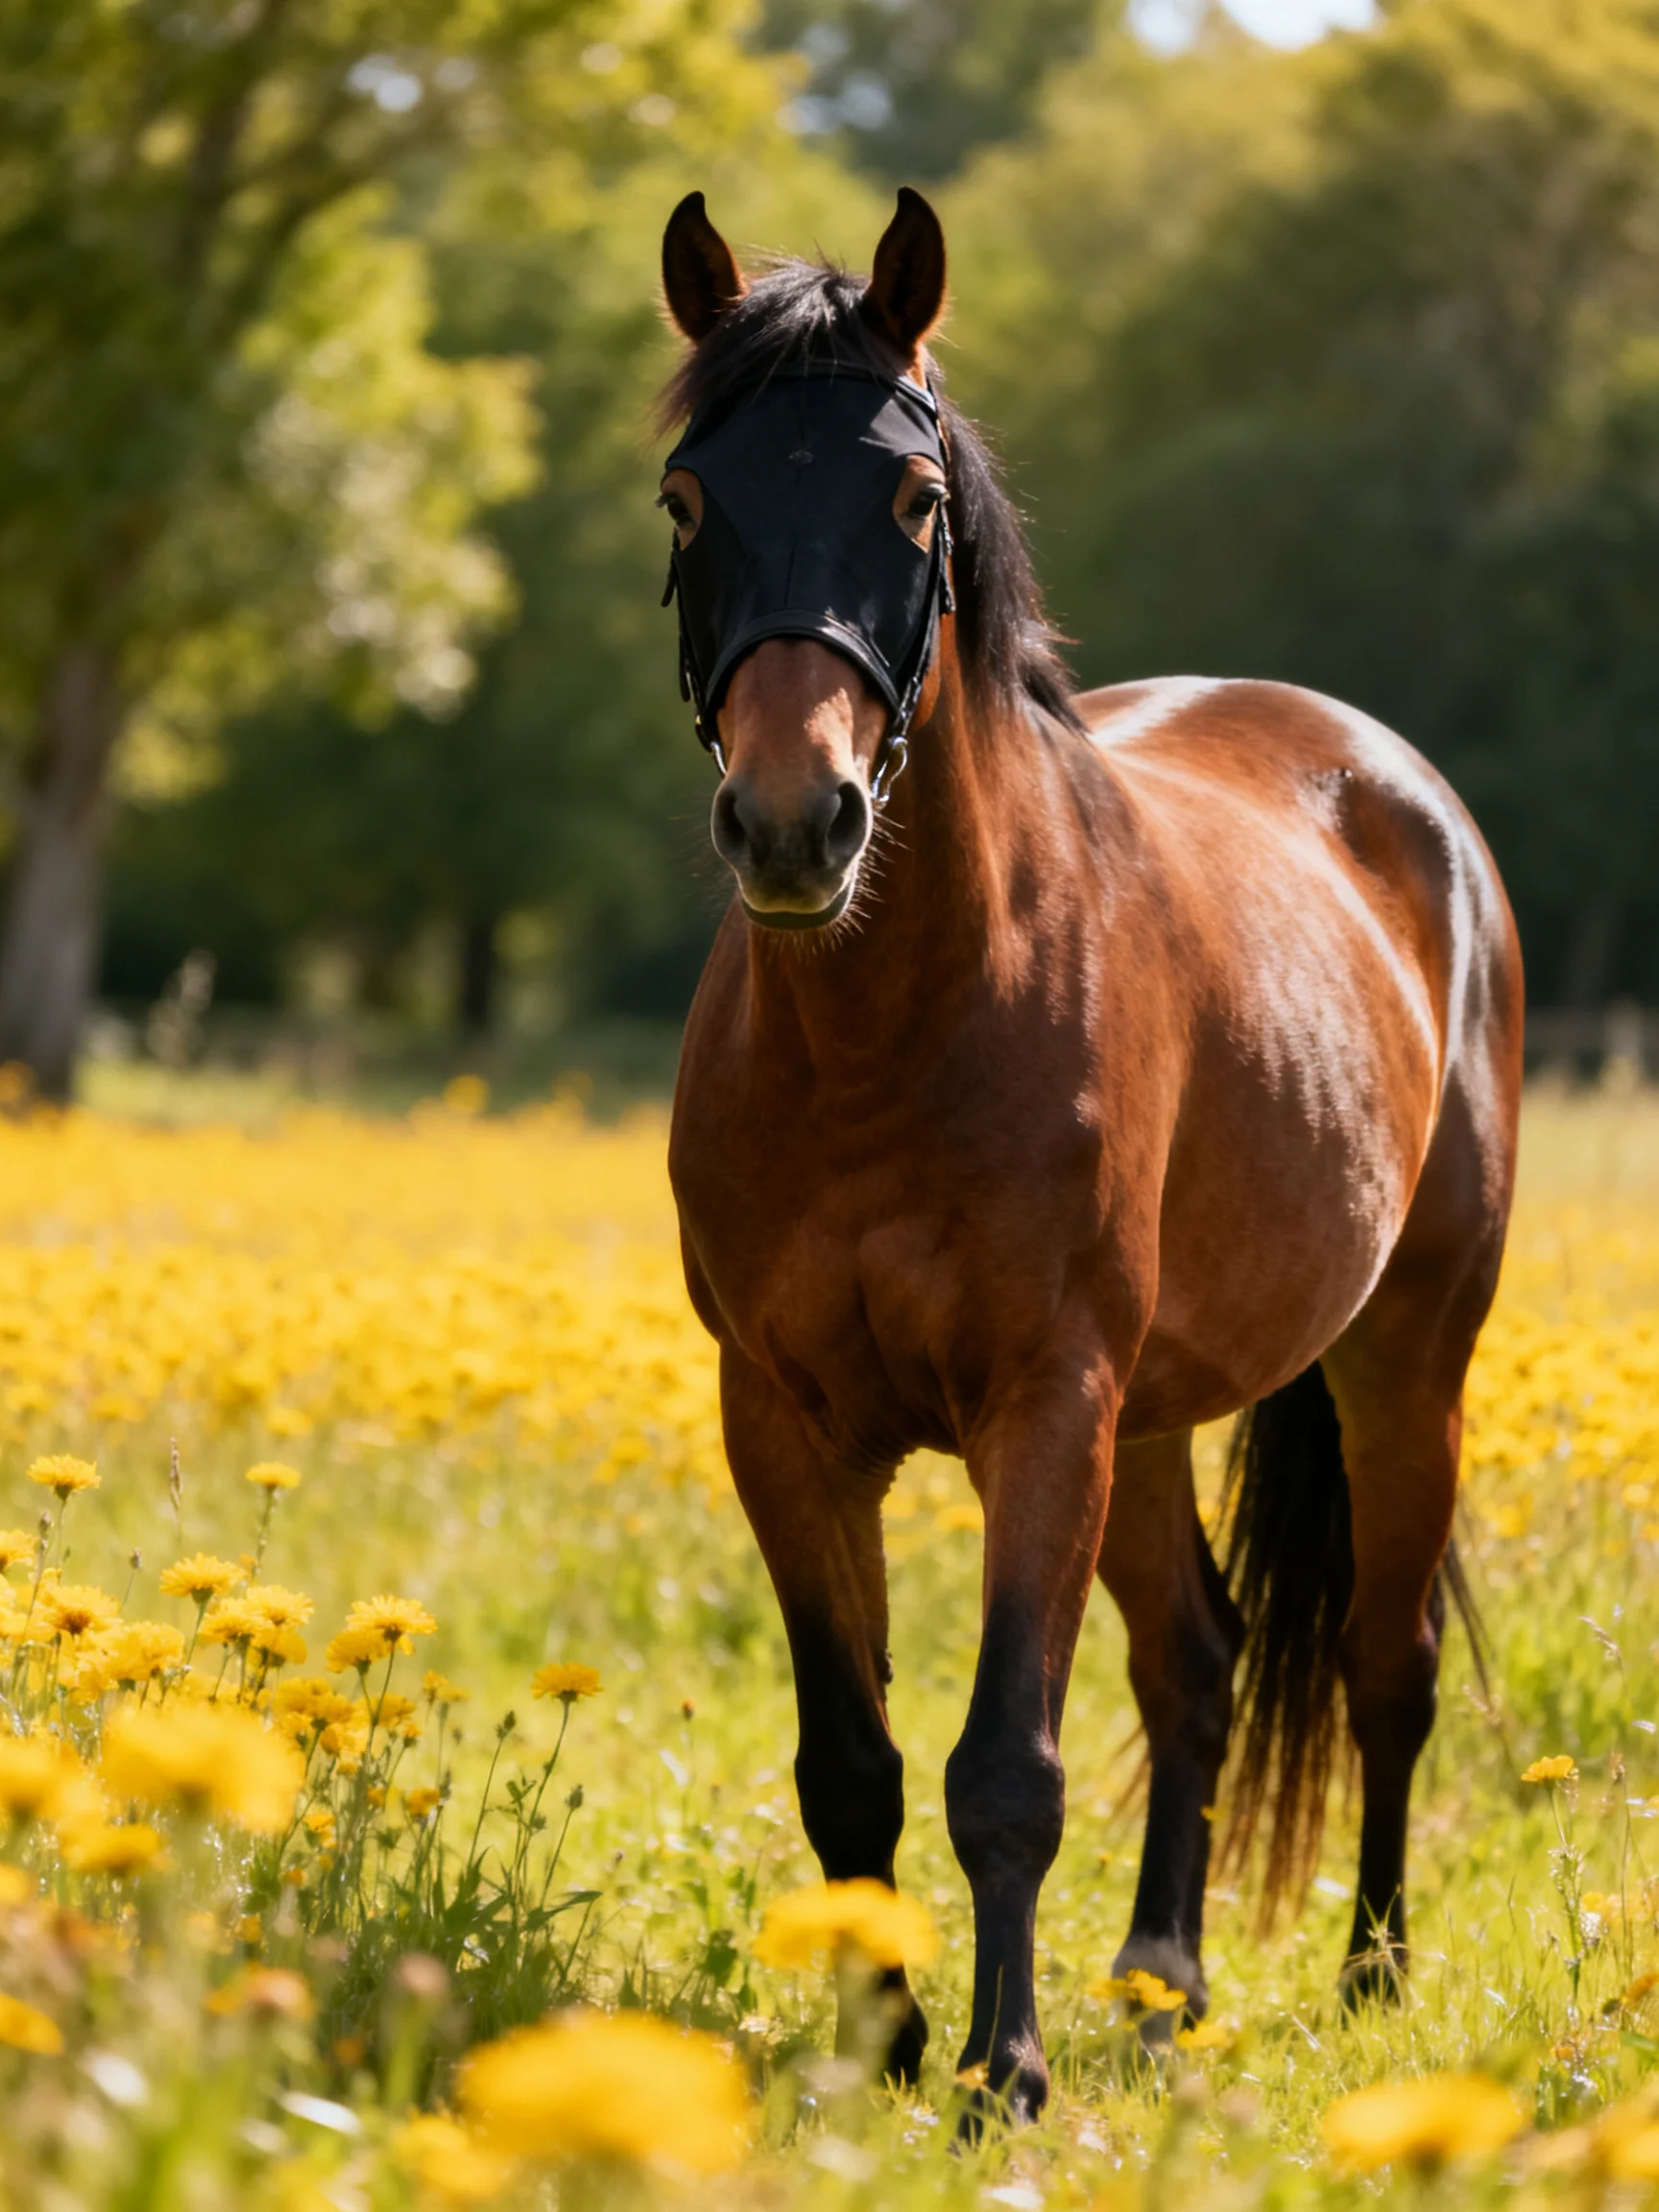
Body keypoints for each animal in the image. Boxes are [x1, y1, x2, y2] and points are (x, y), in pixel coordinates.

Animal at [660, 185, 1524, 2124]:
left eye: (914, 500)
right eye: (686, 498)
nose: (792, 823)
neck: (889, 1033)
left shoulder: (1040, 1401)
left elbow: (1007, 1763)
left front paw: (1001, 2068)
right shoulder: (786, 1423)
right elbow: (852, 1765)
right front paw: (883, 2043)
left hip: (1399, 1360)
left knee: (1384, 1665)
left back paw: (1370, 1973)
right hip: (1152, 1417)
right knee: (1197, 1661)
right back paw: (1159, 1979)